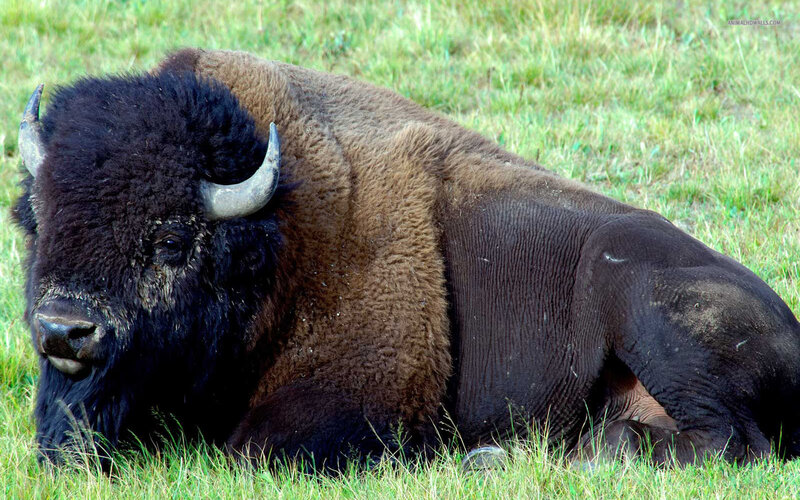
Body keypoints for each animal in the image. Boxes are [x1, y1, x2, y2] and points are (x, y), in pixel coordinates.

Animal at [13, 48, 800, 470]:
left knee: (731, 442)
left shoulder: (352, 401)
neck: (281, 235)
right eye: (36, 221)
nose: (64, 330)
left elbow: (251, 452)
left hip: (644, 305)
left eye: (173, 240)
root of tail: (791, 328)